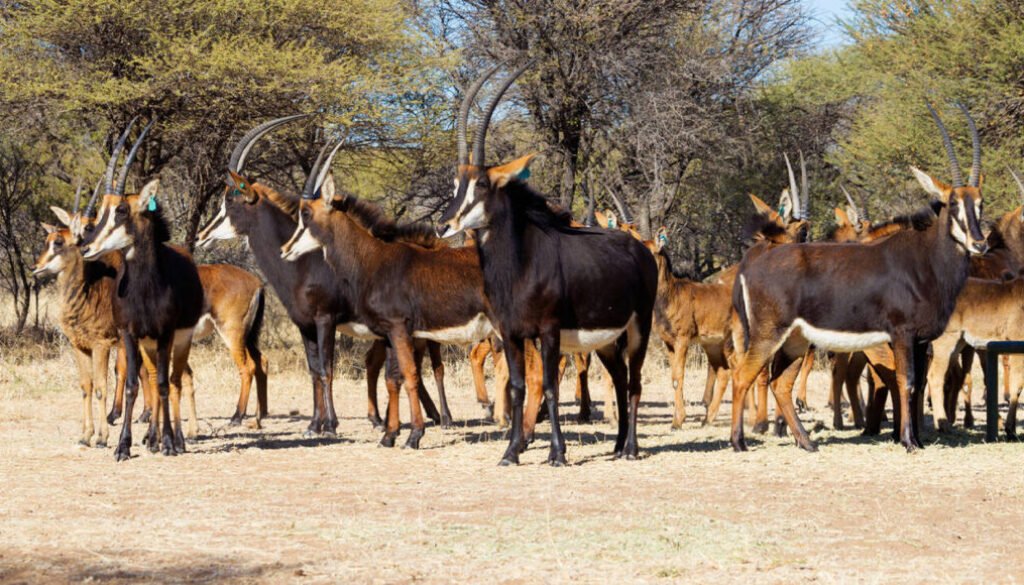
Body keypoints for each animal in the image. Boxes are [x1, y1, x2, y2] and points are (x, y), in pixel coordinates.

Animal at [79, 120, 206, 460]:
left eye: (122, 210)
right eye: (101, 210)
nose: (86, 247)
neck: (145, 289)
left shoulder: (165, 334)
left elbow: (162, 384)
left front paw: (169, 443)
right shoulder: (130, 333)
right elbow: (134, 385)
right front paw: (123, 446)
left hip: (179, 340)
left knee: (174, 381)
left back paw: (175, 439)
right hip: (148, 345)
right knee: (150, 377)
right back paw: (151, 437)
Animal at [197, 116, 451, 434]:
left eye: (230, 203)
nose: (201, 235)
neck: (304, 263)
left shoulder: (325, 320)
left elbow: (327, 370)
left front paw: (329, 424)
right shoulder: (304, 325)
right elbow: (314, 371)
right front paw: (315, 423)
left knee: (434, 365)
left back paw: (443, 418)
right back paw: (402, 418)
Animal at [438, 64, 657, 465]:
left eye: (481, 184)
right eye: (456, 184)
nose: (443, 225)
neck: (519, 266)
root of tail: (640, 250)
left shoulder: (549, 331)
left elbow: (551, 387)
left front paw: (557, 453)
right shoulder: (511, 334)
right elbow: (518, 387)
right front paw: (510, 452)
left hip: (639, 328)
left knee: (634, 382)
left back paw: (632, 449)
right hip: (606, 340)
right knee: (620, 379)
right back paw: (618, 445)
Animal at [728, 102, 987, 453]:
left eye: (980, 203)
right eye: (953, 203)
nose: (979, 243)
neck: (927, 260)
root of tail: (754, 260)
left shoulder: (921, 340)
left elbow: (918, 386)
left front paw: (918, 439)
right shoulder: (901, 335)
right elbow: (906, 382)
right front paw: (908, 441)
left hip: (795, 339)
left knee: (780, 382)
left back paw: (807, 442)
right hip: (769, 333)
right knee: (744, 375)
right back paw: (739, 442)